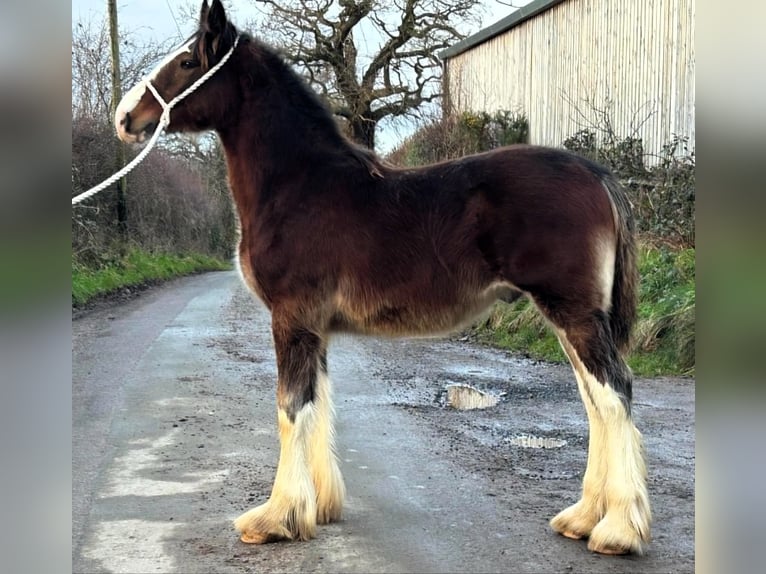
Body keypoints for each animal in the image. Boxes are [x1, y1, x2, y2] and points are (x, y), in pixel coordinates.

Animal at [115, 0, 656, 560]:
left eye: (187, 62)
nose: (125, 118)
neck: (300, 185)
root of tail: (598, 175)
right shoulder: (314, 326)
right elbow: (318, 404)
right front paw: (319, 507)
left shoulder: (291, 317)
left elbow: (291, 409)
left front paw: (276, 518)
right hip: (573, 317)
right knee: (596, 402)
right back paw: (584, 517)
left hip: (573, 313)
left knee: (613, 395)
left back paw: (617, 530)